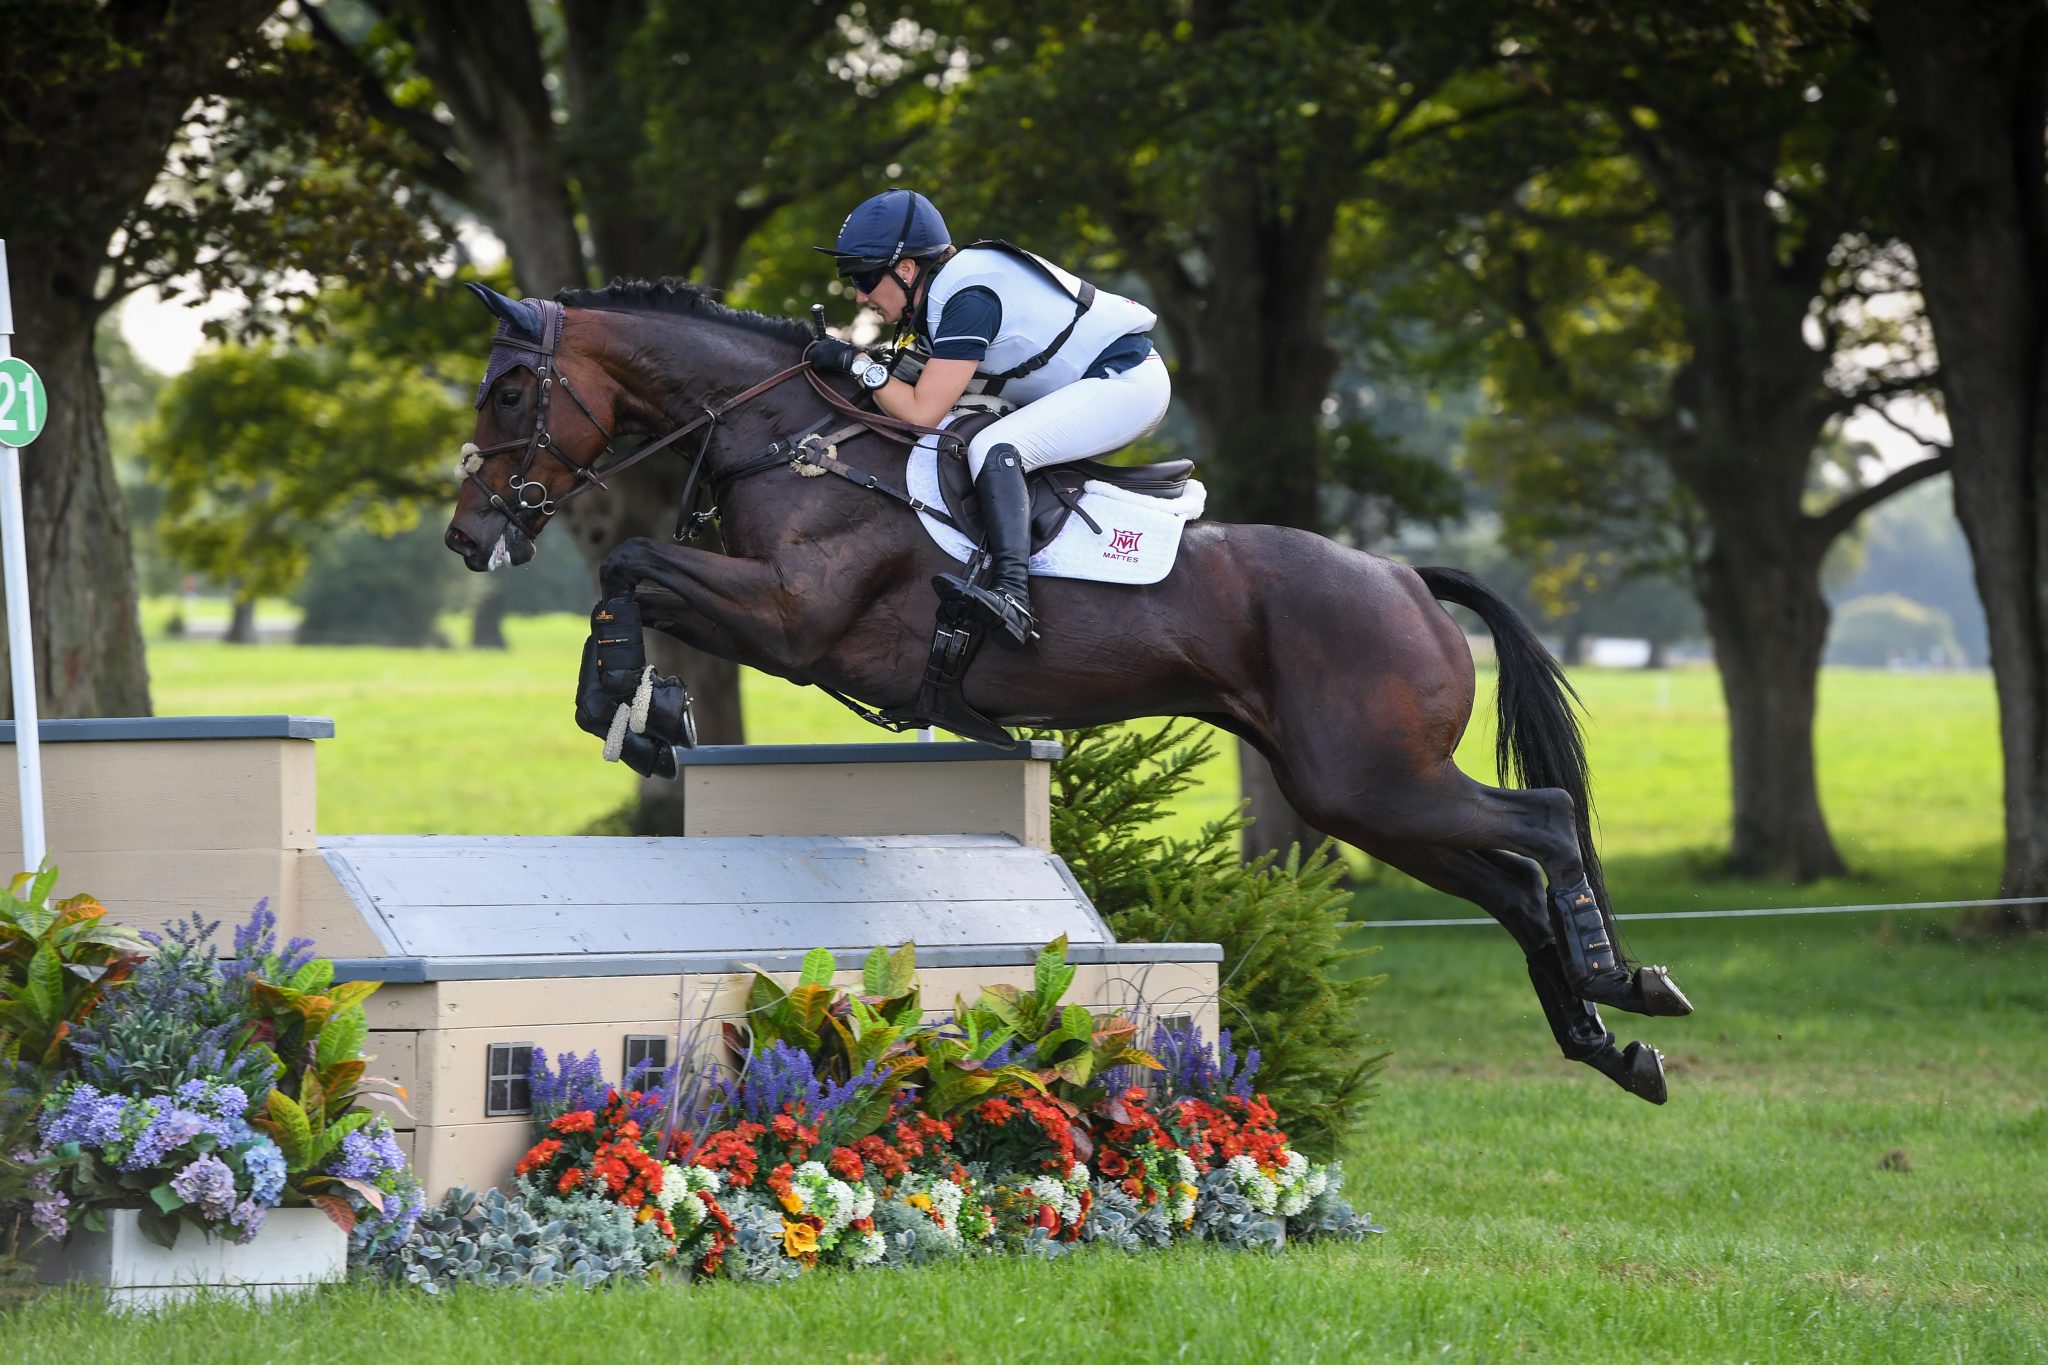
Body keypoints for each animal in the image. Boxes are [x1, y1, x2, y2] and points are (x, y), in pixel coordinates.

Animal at [448, 282, 1695, 1105]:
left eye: (510, 392)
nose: (469, 537)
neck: (790, 438)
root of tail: (1397, 575)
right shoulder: (776, 627)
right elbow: (635, 581)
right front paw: (636, 708)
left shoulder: (795, 621)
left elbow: (628, 563)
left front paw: (627, 701)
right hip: (1359, 796)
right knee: (1510, 888)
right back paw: (1613, 1042)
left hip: (1372, 778)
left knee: (1543, 824)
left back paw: (1616, 977)